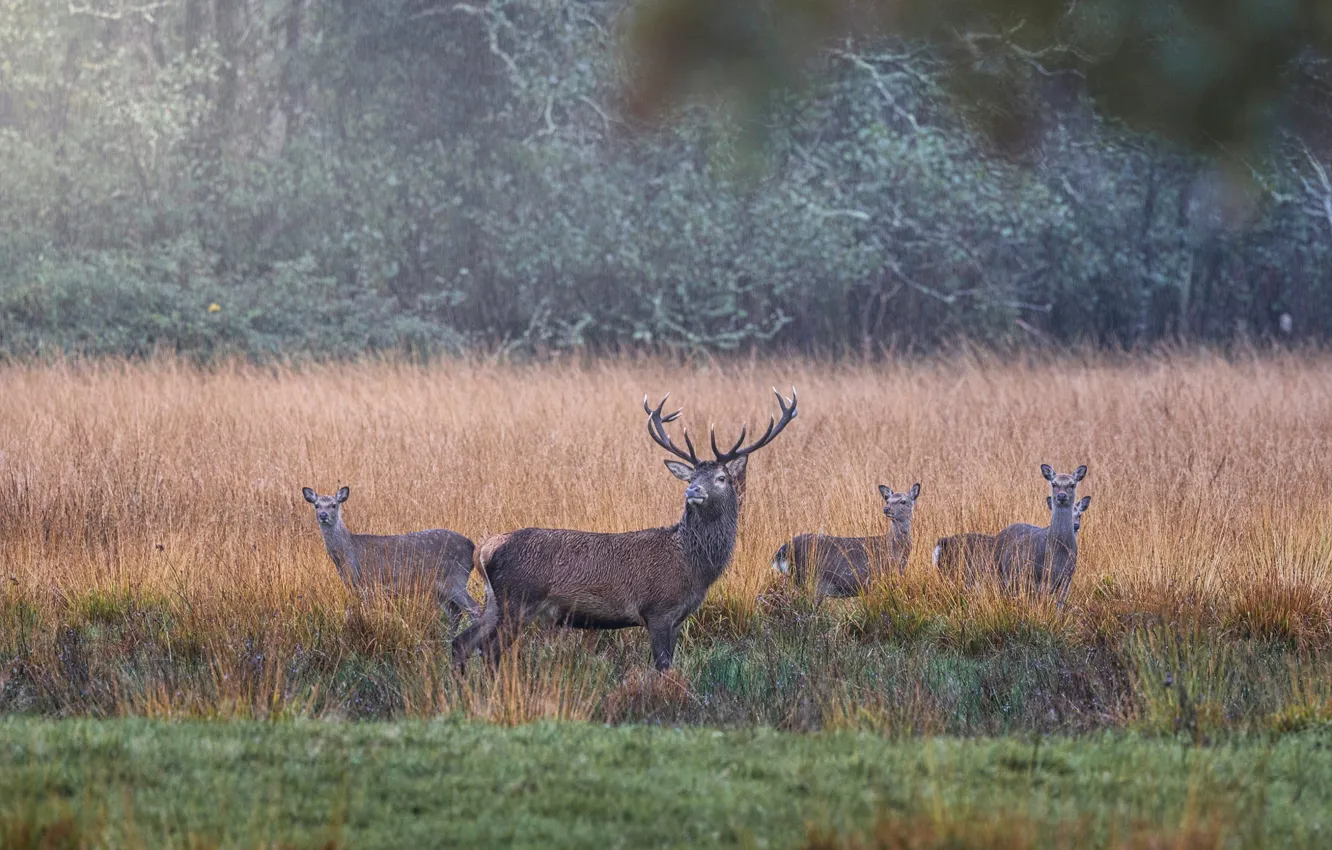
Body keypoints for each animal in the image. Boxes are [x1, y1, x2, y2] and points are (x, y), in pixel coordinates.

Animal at [301, 486, 479, 630]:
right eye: (316, 505)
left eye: (334, 504)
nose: (323, 515)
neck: (347, 556)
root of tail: (472, 547)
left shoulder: (369, 584)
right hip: (441, 587)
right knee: (455, 613)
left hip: (455, 578)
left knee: (474, 609)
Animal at [453, 388, 798, 673]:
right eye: (690, 477)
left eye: (721, 478)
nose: (693, 491)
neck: (694, 566)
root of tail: (484, 549)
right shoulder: (658, 609)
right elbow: (663, 667)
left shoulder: (677, 618)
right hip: (518, 599)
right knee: (490, 649)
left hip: (494, 602)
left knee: (462, 642)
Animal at [771, 483, 920, 598]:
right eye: (887, 500)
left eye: (903, 501)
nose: (886, 509)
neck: (894, 548)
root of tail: (782, 551)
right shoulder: (878, 578)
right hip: (810, 579)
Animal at [931, 465, 1088, 604]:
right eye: (1054, 483)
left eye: (1072, 484)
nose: (1061, 496)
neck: (1057, 550)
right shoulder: (1034, 578)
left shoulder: (1067, 578)